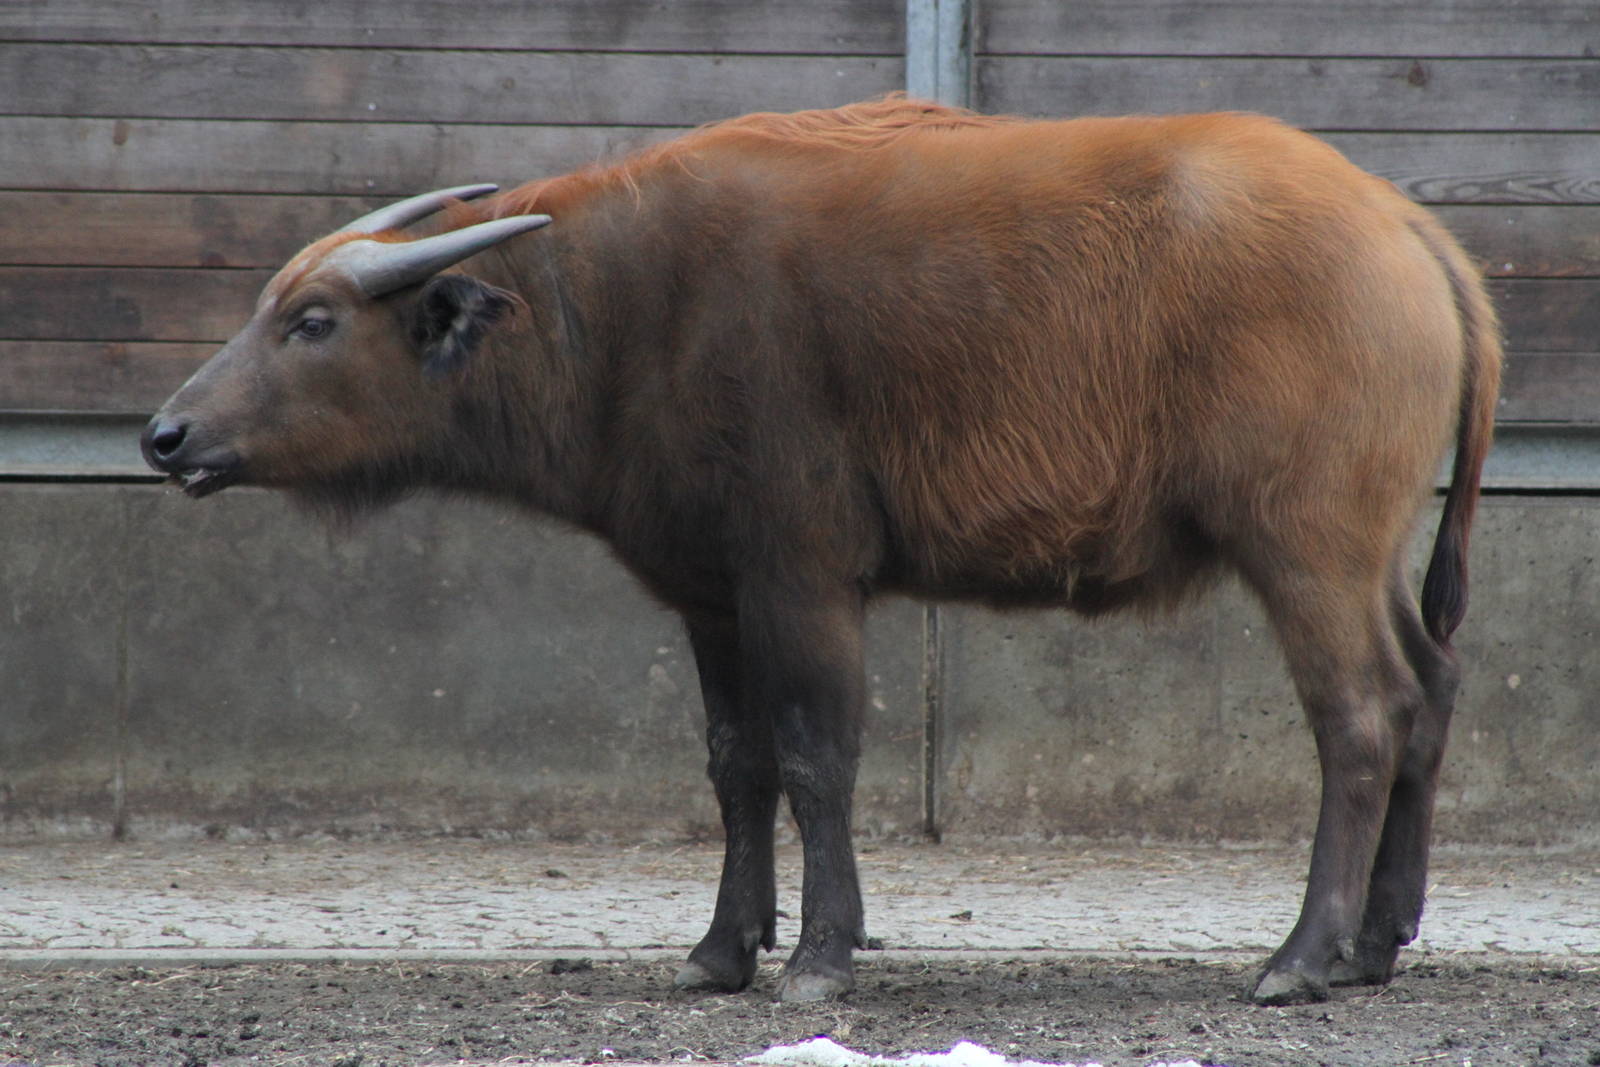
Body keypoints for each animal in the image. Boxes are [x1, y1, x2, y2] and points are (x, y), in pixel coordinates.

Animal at [142, 97, 1500, 1004]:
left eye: (312, 321)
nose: (166, 434)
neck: (624, 308)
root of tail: (1403, 226)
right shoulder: (711, 595)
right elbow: (734, 765)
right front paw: (718, 949)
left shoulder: (803, 578)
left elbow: (816, 757)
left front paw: (818, 956)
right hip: (1376, 554)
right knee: (1431, 692)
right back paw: (1377, 943)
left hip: (1306, 548)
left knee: (1360, 718)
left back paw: (1301, 955)